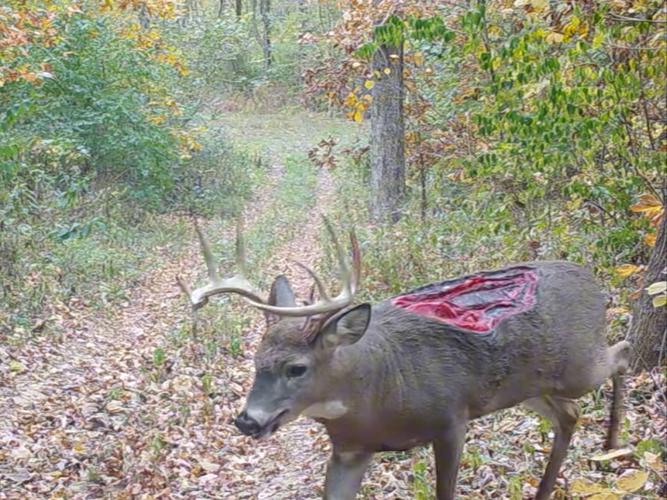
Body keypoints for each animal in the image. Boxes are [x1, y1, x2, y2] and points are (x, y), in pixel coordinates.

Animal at [177, 219, 631, 500]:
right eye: (256, 361)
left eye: (297, 368)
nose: (247, 421)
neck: (377, 393)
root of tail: (590, 277)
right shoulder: (349, 449)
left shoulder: (452, 419)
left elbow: (445, 491)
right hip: (529, 387)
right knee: (569, 414)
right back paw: (552, 484)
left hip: (579, 366)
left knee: (622, 353)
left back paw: (612, 443)